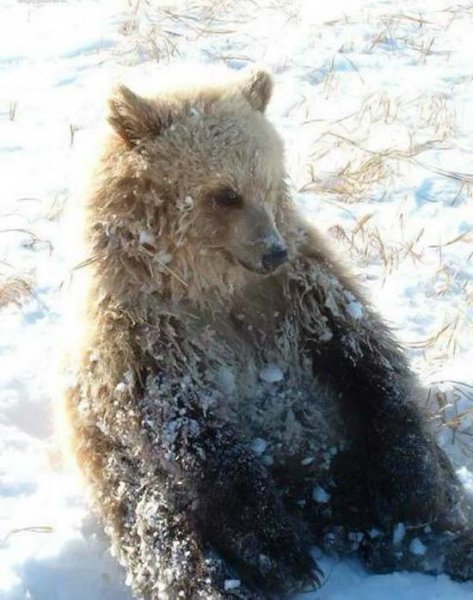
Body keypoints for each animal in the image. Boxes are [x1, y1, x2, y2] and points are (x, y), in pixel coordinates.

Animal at [60, 65, 473, 600]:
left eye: (270, 181)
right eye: (226, 193)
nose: (272, 251)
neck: (211, 284)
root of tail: (324, 509)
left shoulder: (302, 293)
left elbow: (369, 370)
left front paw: (411, 486)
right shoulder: (146, 337)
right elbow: (195, 437)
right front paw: (281, 554)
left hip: (340, 451)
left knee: (418, 503)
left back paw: (439, 540)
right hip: (120, 471)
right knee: (166, 533)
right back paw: (230, 580)